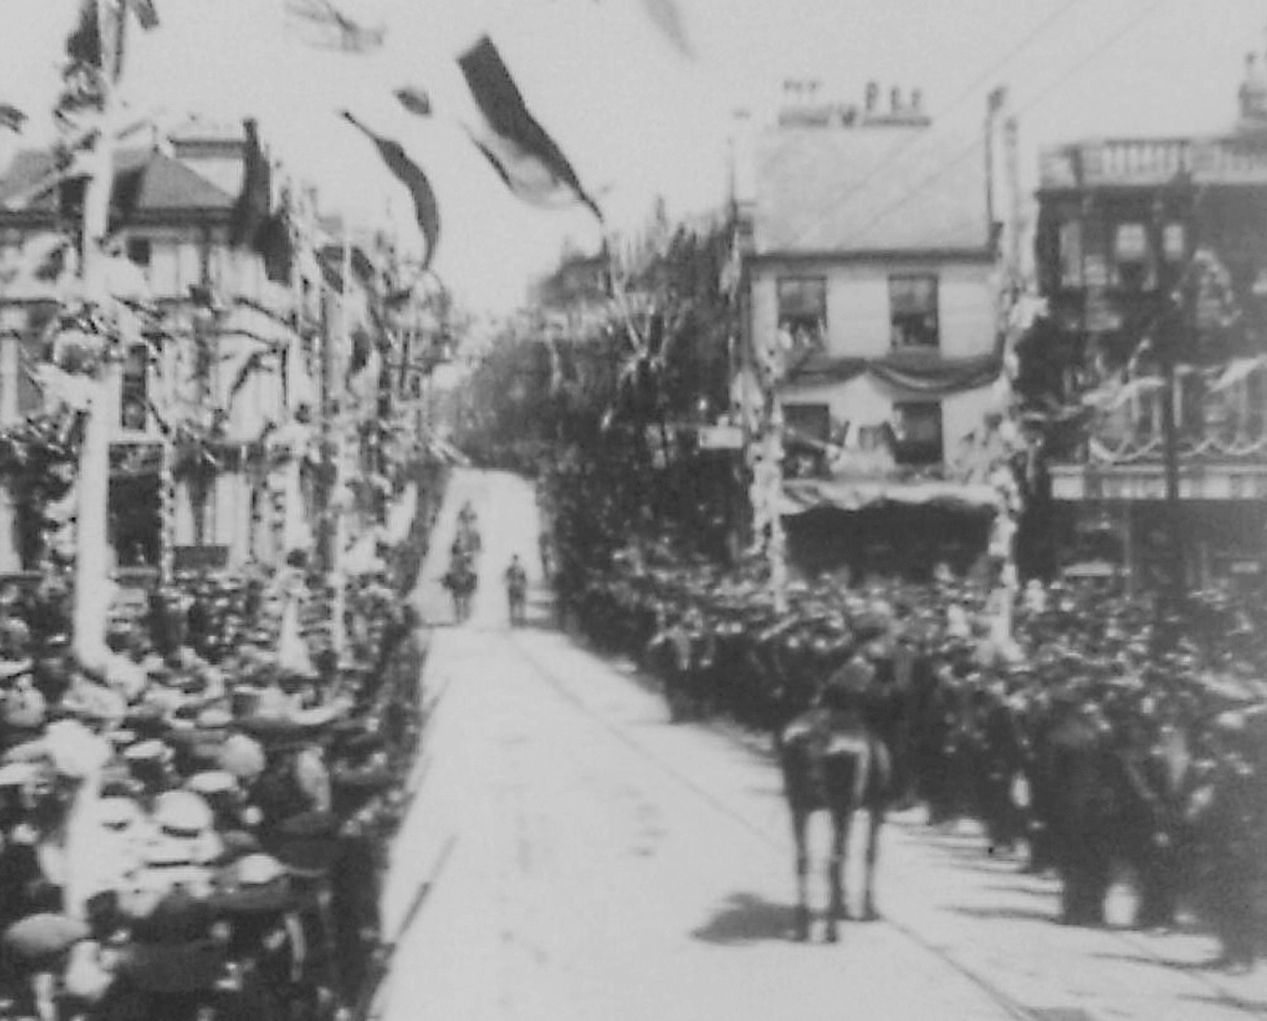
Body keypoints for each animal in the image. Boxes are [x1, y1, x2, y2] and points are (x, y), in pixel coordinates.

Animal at [775, 658, 897, 947]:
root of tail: (819, 740)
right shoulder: (875, 808)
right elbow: (869, 853)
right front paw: (866, 909)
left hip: (799, 805)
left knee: (803, 858)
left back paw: (803, 925)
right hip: (840, 808)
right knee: (833, 861)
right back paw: (831, 930)